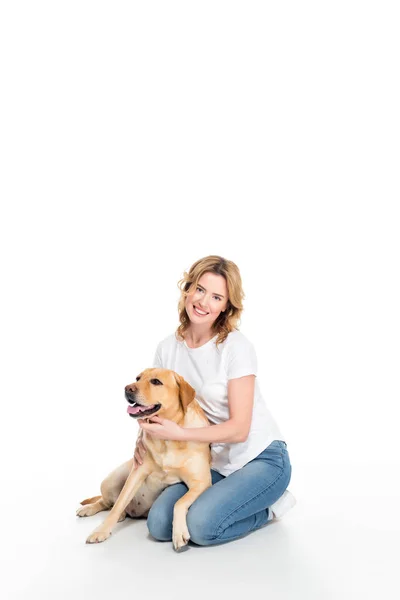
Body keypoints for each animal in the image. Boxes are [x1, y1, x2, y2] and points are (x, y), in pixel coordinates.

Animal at [76, 368, 212, 552]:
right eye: (138, 378)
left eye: (156, 382)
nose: (128, 388)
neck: (167, 440)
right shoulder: (137, 472)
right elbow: (119, 503)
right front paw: (101, 531)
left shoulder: (201, 482)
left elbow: (179, 502)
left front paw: (178, 533)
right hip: (113, 478)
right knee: (107, 502)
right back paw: (90, 509)